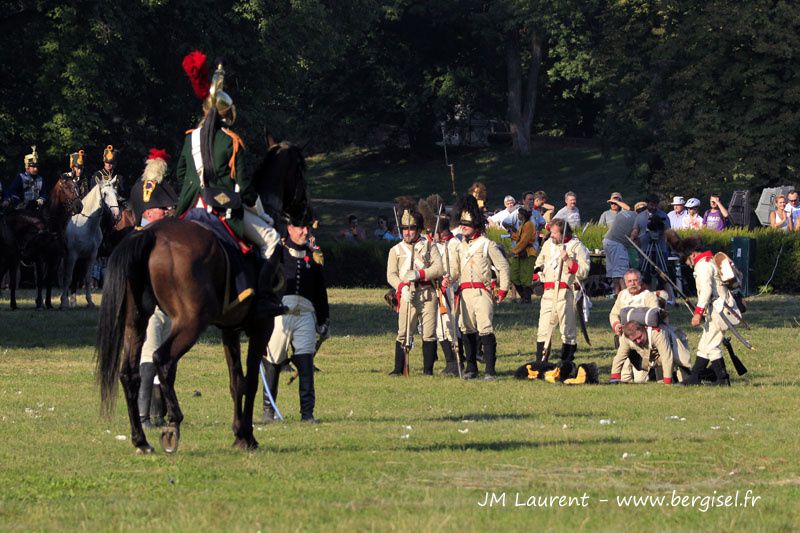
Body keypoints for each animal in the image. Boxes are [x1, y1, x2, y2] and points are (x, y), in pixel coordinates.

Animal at [0, 177, 83, 308]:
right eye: (66, 188)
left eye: (76, 187)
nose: (79, 206)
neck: (51, 226)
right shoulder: (40, 259)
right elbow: (39, 281)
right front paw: (39, 304)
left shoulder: (55, 259)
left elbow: (48, 281)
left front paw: (48, 304)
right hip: (10, 258)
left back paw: (13, 305)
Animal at [62, 177, 120, 308]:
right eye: (105, 193)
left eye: (116, 193)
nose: (116, 214)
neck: (86, 225)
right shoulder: (72, 255)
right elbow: (68, 277)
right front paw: (63, 301)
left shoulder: (92, 256)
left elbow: (88, 278)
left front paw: (90, 301)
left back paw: (73, 300)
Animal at [94, 141, 306, 454]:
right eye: (300, 169)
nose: (305, 213)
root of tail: (150, 236)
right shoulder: (261, 326)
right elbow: (252, 380)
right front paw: (248, 436)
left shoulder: (230, 329)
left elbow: (236, 381)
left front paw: (238, 433)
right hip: (192, 322)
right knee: (162, 360)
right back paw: (172, 423)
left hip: (136, 321)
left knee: (130, 373)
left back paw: (141, 440)